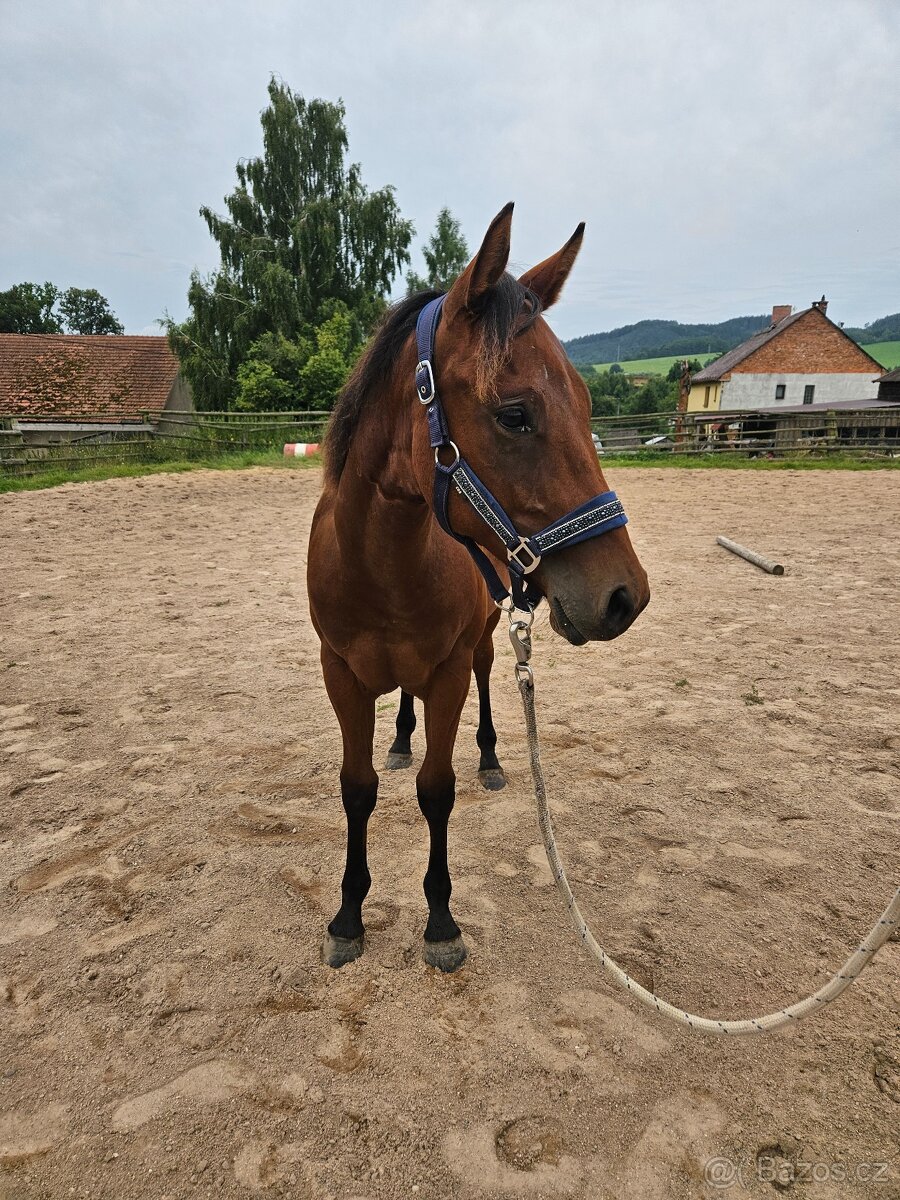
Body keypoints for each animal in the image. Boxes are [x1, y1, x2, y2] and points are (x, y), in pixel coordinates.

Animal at [307, 203, 649, 972]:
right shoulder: (340, 674)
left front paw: (440, 920)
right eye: (515, 413)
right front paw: (347, 917)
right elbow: (356, 789)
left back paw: (491, 756)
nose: (625, 596)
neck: (379, 563)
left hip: (487, 640)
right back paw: (401, 739)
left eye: (588, 404)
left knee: (494, 679)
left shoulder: (448, 671)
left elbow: (438, 790)